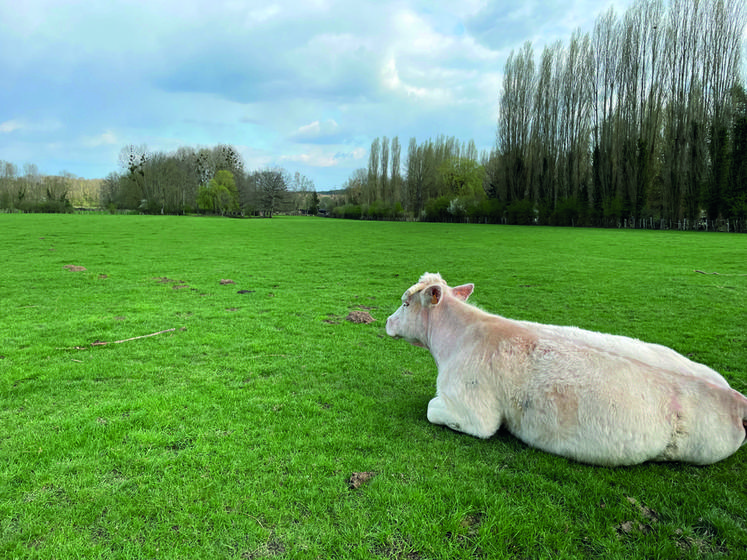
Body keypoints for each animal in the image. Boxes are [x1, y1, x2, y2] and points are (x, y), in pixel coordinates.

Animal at [386, 274, 747, 466]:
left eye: (405, 302)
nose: (388, 322)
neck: (457, 340)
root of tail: (735, 396)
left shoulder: (474, 413)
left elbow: (432, 408)